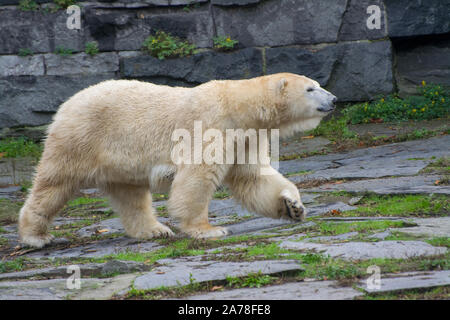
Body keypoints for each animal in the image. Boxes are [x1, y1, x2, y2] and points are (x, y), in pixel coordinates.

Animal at [18, 72, 334, 248]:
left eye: (318, 84)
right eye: (311, 88)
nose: (333, 99)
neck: (238, 106)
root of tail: (66, 104)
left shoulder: (247, 137)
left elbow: (253, 177)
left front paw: (293, 206)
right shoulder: (211, 127)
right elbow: (197, 177)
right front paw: (209, 230)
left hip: (119, 158)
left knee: (130, 195)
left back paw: (155, 230)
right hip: (81, 138)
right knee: (55, 183)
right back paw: (36, 236)